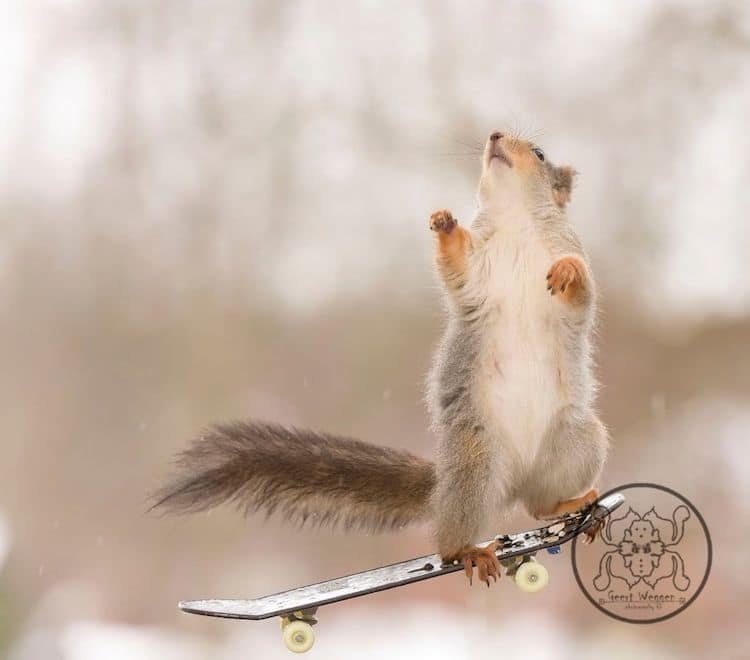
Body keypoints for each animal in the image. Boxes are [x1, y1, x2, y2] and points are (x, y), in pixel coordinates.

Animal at [154, 131, 612, 584]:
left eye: (539, 153)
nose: (495, 135)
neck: (516, 221)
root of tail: (510, 482)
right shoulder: (474, 271)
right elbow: (457, 265)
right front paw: (445, 222)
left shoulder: (569, 256)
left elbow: (582, 291)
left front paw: (568, 271)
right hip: (475, 463)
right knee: (453, 539)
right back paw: (469, 550)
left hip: (577, 442)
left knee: (538, 505)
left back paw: (572, 504)